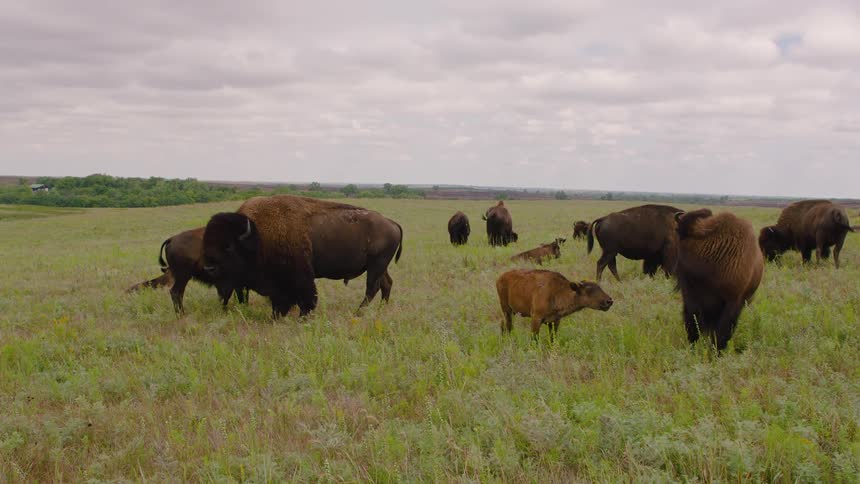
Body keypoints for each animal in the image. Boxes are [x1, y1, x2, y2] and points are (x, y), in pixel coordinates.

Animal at [202, 195, 403, 318]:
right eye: (205, 242)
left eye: (228, 247)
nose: (208, 268)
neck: (257, 237)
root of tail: (391, 223)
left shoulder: (300, 276)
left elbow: (306, 297)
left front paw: (302, 317)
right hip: (379, 266)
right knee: (386, 284)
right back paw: (381, 309)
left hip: (376, 266)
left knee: (372, 288)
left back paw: (358, 312)